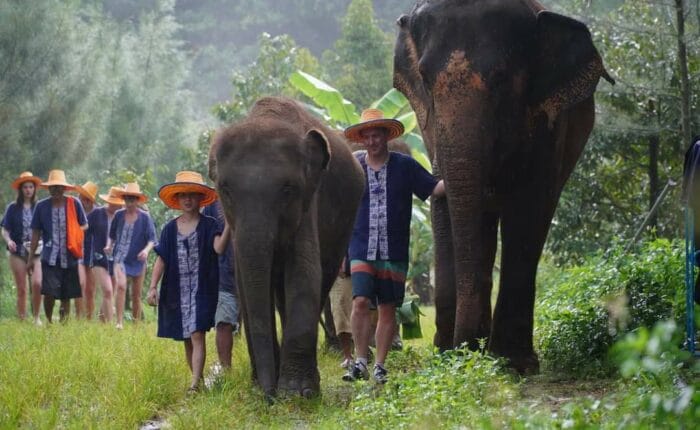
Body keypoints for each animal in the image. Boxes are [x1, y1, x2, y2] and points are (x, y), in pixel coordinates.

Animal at [208, 95, 364, 398]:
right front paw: (263, 387)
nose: (268, 396)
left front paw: (296, 392)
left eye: (288, 189)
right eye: (225, 190)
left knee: (323, 278)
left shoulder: (309, 202)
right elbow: (245, 284)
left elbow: (304, 272)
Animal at [394, 0, 612, 372]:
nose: (463, 349)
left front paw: (513, 363)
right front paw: (450, 356)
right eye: (423, 78)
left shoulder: (548, 125)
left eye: (500, 78)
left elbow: (529, 206)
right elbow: (445, 207)